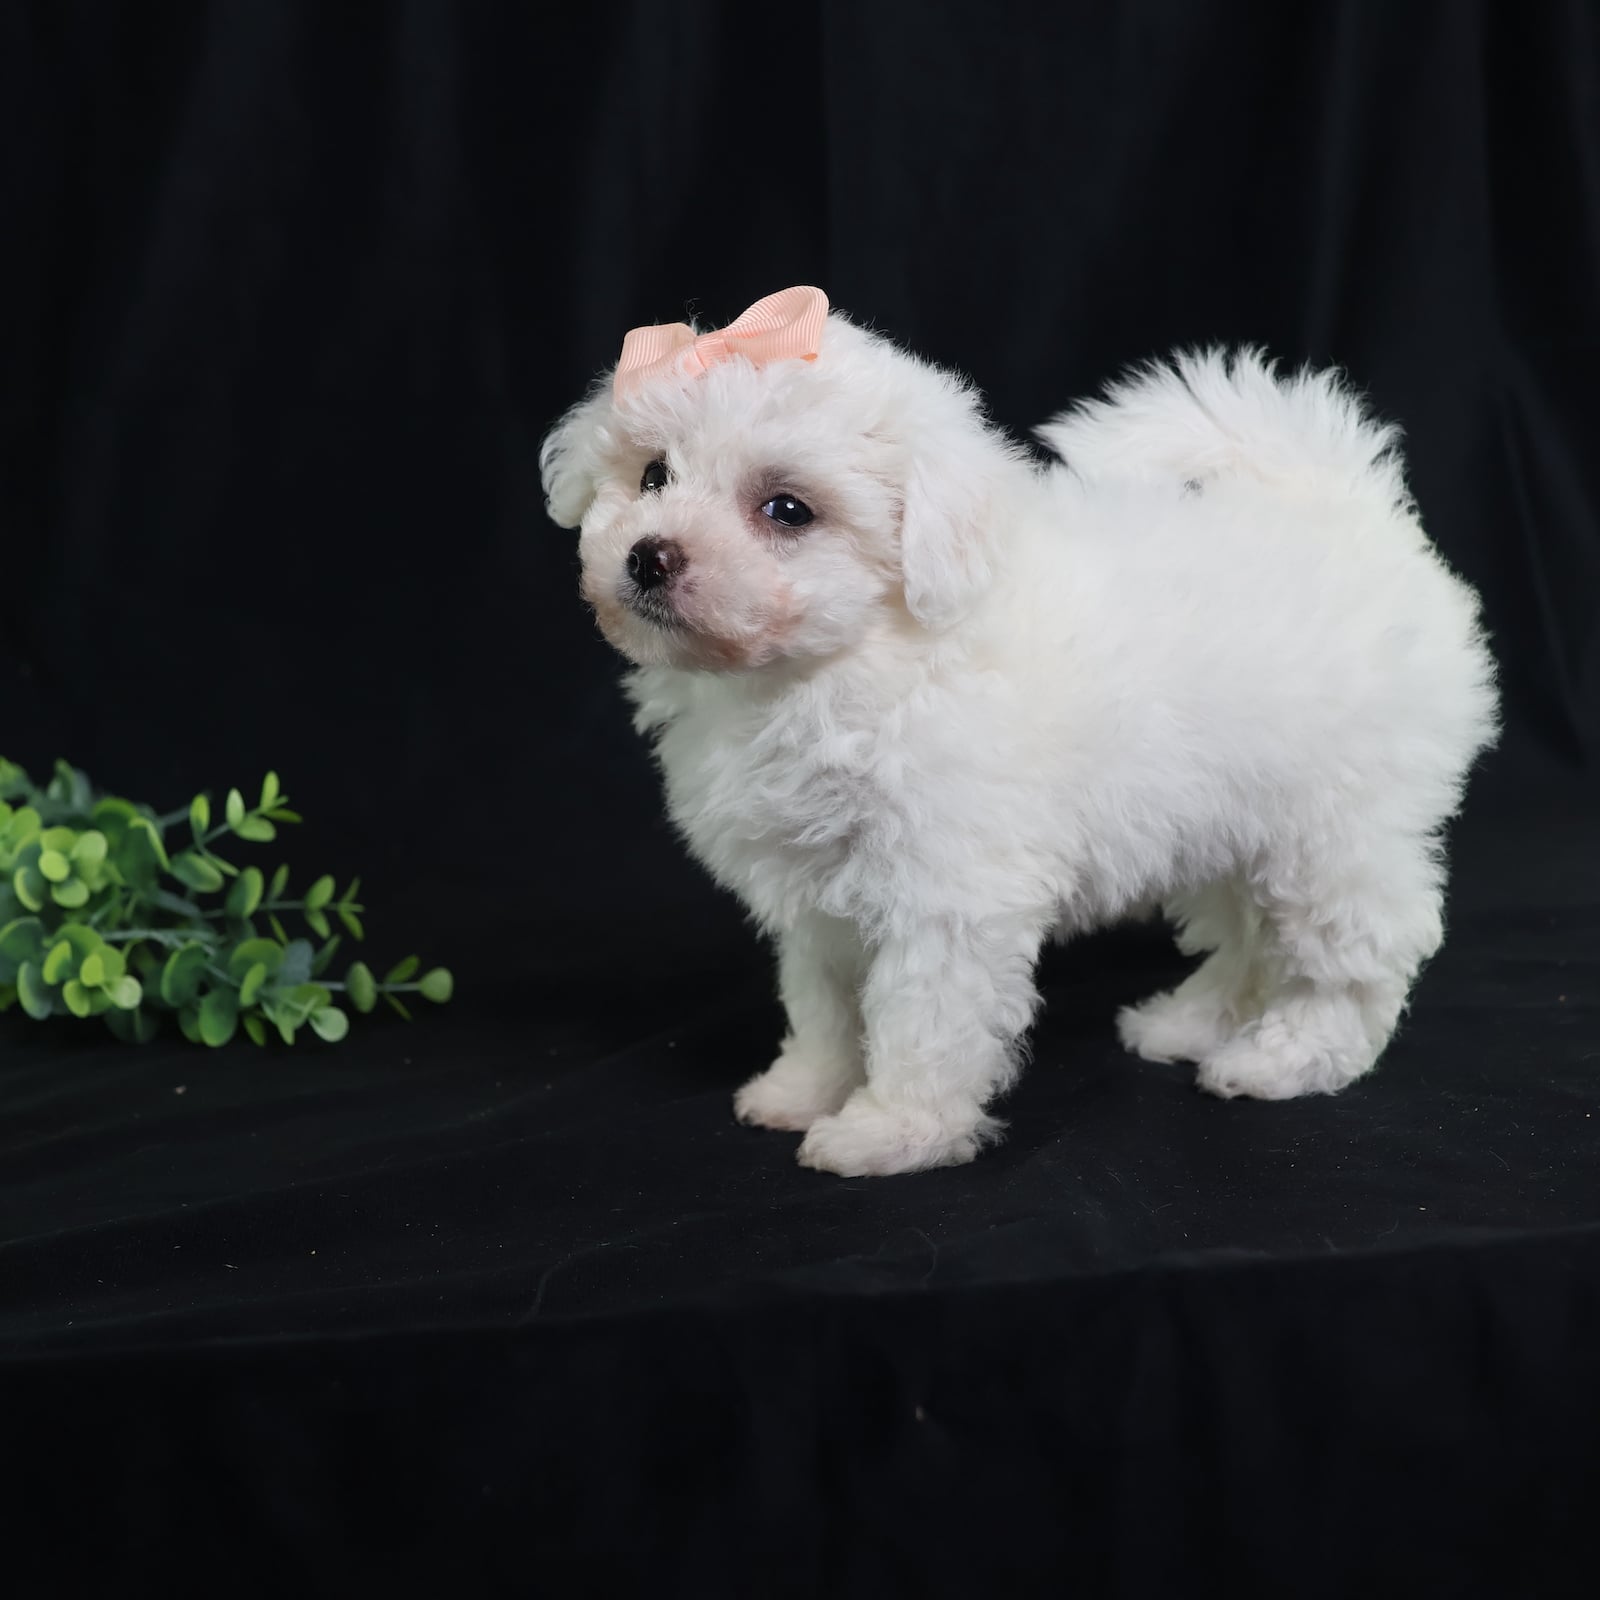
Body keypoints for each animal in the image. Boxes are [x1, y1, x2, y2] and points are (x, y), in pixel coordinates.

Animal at [540, 287, 1498, 1177]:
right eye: (653, 475)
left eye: (786, 510)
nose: (650, 556)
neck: (846, 666)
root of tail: (1345, 506)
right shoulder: (817, 893)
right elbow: (823, 999)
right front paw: (805, 1088)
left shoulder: (945, 890)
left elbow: (922, 1017)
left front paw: (893, 1132)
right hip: (1229, 817)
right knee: (1249, 929)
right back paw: (1191, 1023)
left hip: (1335, 826)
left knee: (1357, 947)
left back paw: (1287, 1057)